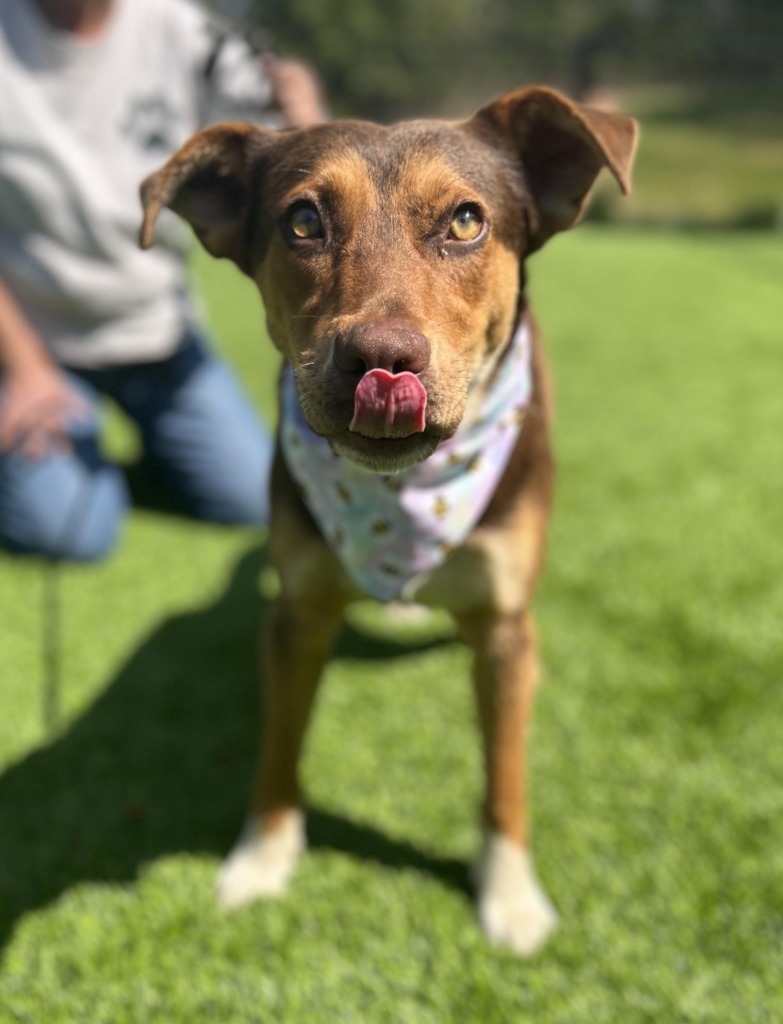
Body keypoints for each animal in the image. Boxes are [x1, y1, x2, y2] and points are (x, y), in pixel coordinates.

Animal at [140, 86, 638, 950]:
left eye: (466, 221)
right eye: (303, 220)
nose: (379, 359)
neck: (402, 495)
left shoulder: (504, 627)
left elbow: (505, 773)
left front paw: (509, 898)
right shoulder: (297, 612)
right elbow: (279, 746)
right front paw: (261, 860)